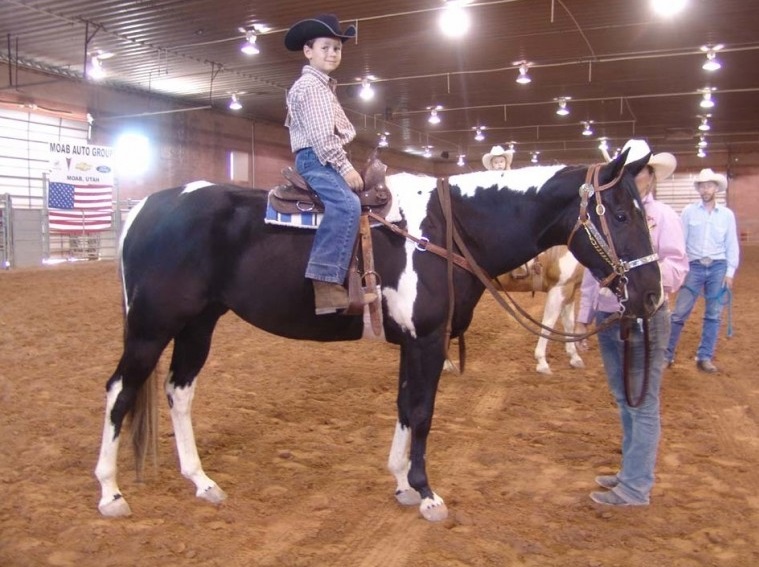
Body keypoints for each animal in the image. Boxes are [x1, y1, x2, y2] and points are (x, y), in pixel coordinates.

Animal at [493, 246, 585, 374]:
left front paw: (574, 357)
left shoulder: (570, 290)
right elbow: (548, 325)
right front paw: (542, 363)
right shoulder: (558, 289)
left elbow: (569, 324)